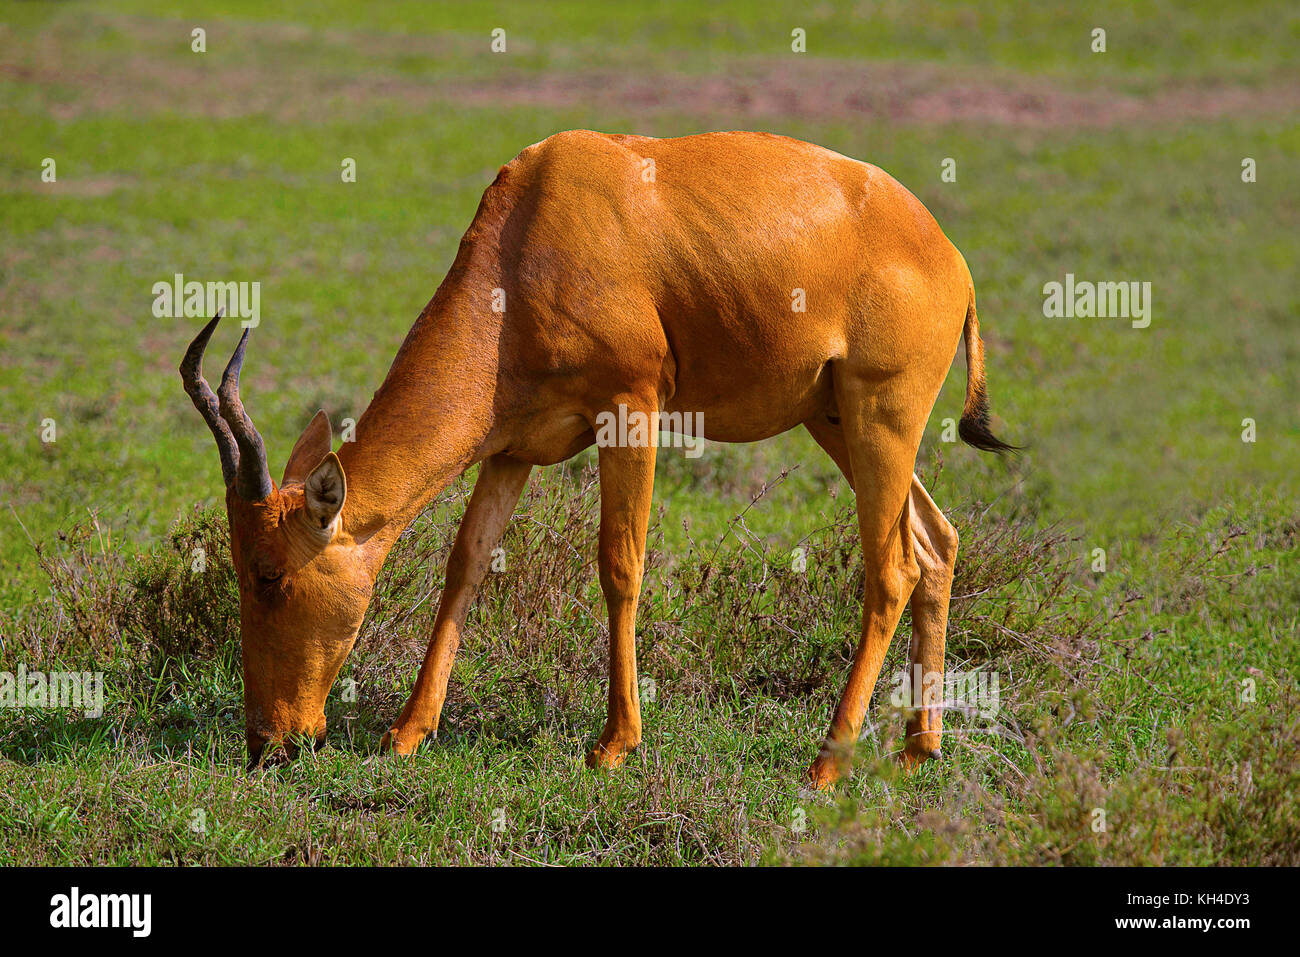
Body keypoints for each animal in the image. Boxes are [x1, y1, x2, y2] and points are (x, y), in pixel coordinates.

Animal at [180, 128, 1013, 785]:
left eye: (269, 573)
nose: (267, 742)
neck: (534, 224)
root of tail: (948, 255)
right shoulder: (511, 447)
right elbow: (467, 561)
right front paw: (408, 732)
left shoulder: (631, 408)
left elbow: (620, 563)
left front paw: (615, 743)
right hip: (834, 418)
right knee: (936, 543)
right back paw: (918, 749)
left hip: (882, 416)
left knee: (892, 568)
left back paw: (827, 762)